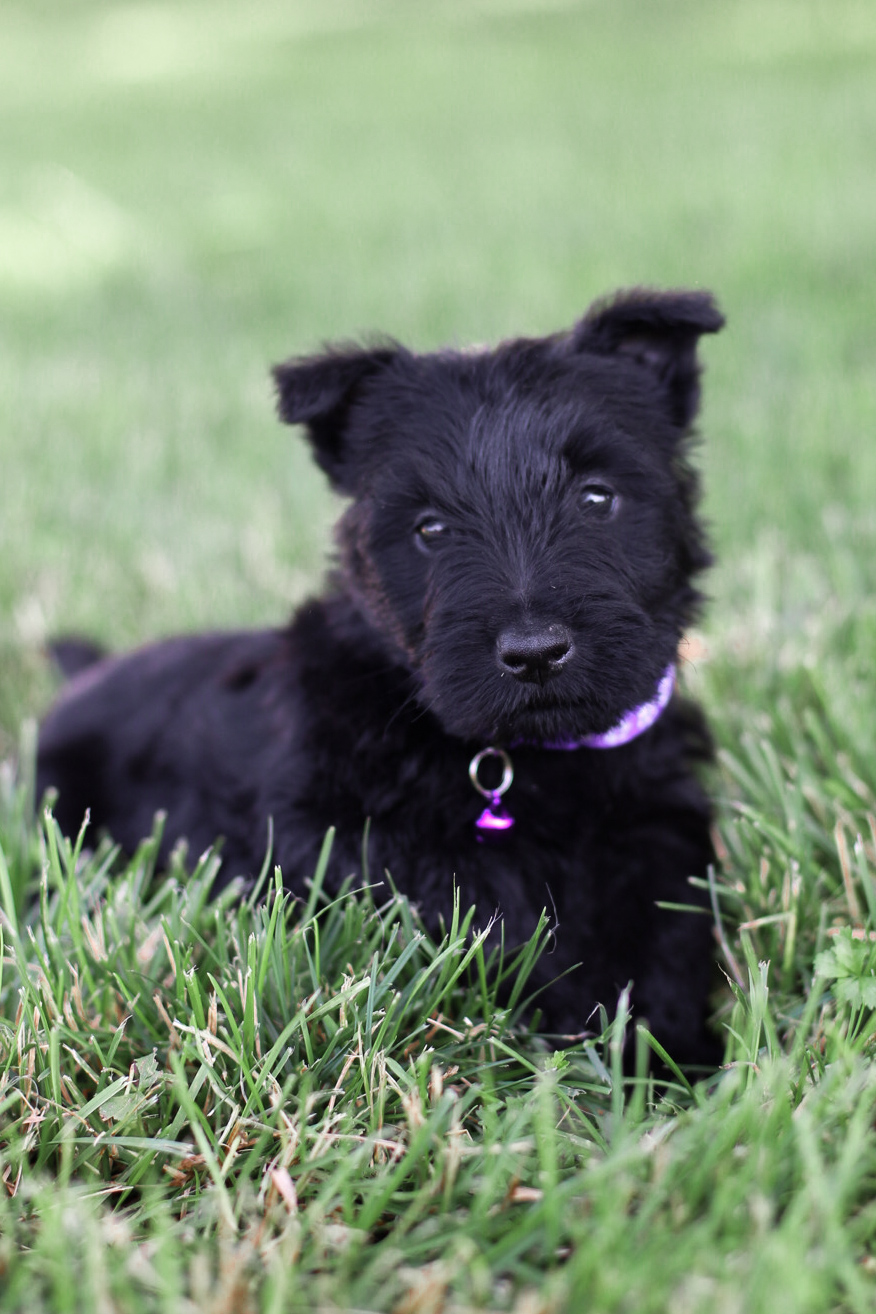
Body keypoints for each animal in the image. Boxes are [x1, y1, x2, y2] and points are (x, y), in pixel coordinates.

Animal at [37, 290, 724, 1066]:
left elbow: (660, 942)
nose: (534, 652)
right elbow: (498, 929)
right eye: (430, 528)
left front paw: (665, 1057)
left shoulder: (656, 834)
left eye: (598, 498)